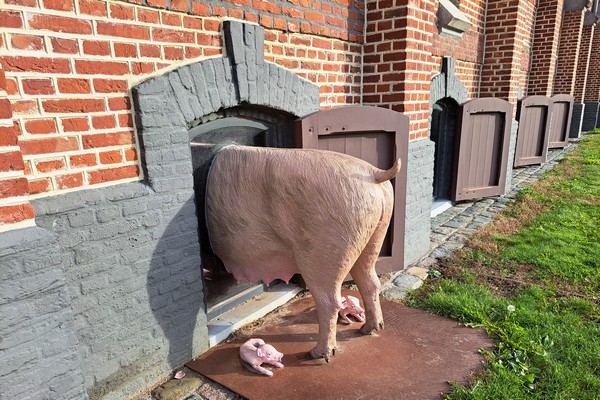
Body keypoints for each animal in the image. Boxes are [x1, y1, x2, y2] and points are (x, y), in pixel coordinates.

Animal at [207, 145, 404, 360]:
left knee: (330, 301)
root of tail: (374, 174)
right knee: (371, 282)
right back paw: (368, 330)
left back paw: (318, 354)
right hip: (374, 236)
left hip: (325, 249)